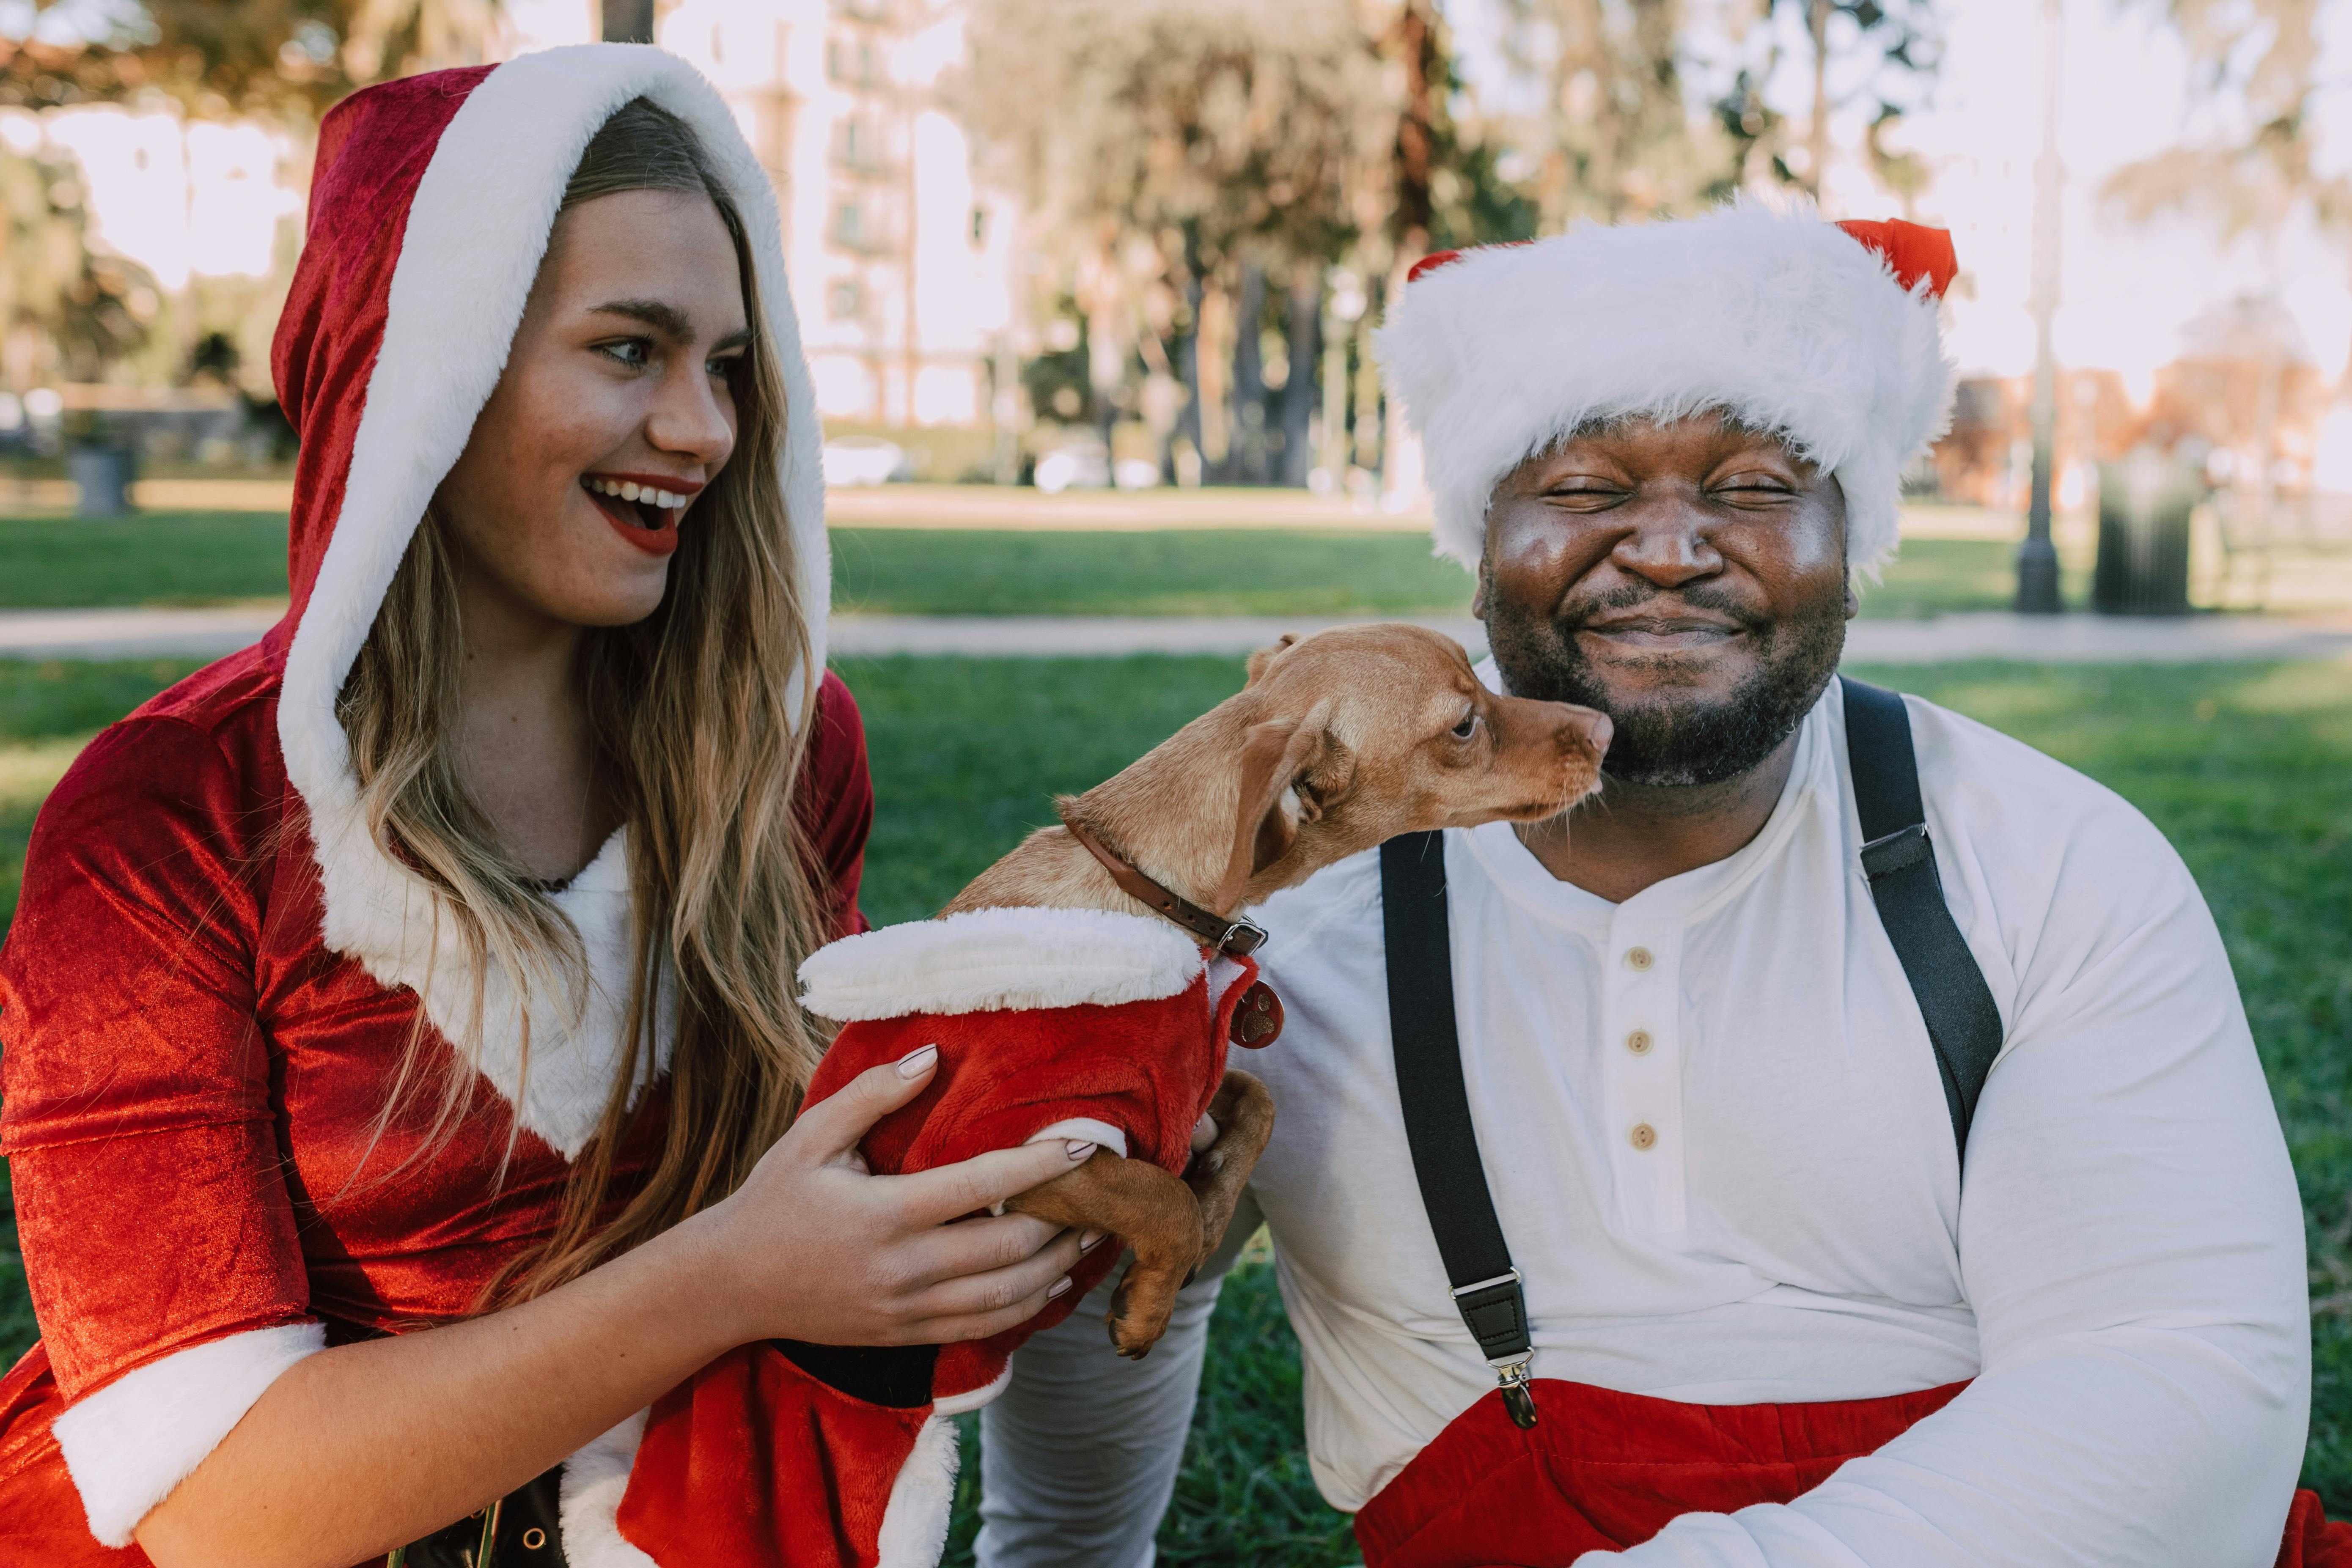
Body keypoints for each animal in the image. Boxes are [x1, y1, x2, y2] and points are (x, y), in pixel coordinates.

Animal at [936, 621, 1618, 1354]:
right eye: (1464, 724)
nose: (1607, 727)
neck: (1150, 893)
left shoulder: (1189, 1091)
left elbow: (1260, 1103)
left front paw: (1212, 1209)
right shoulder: (1018, 1145)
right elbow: (1163, 1199)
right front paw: (1150, 1303)